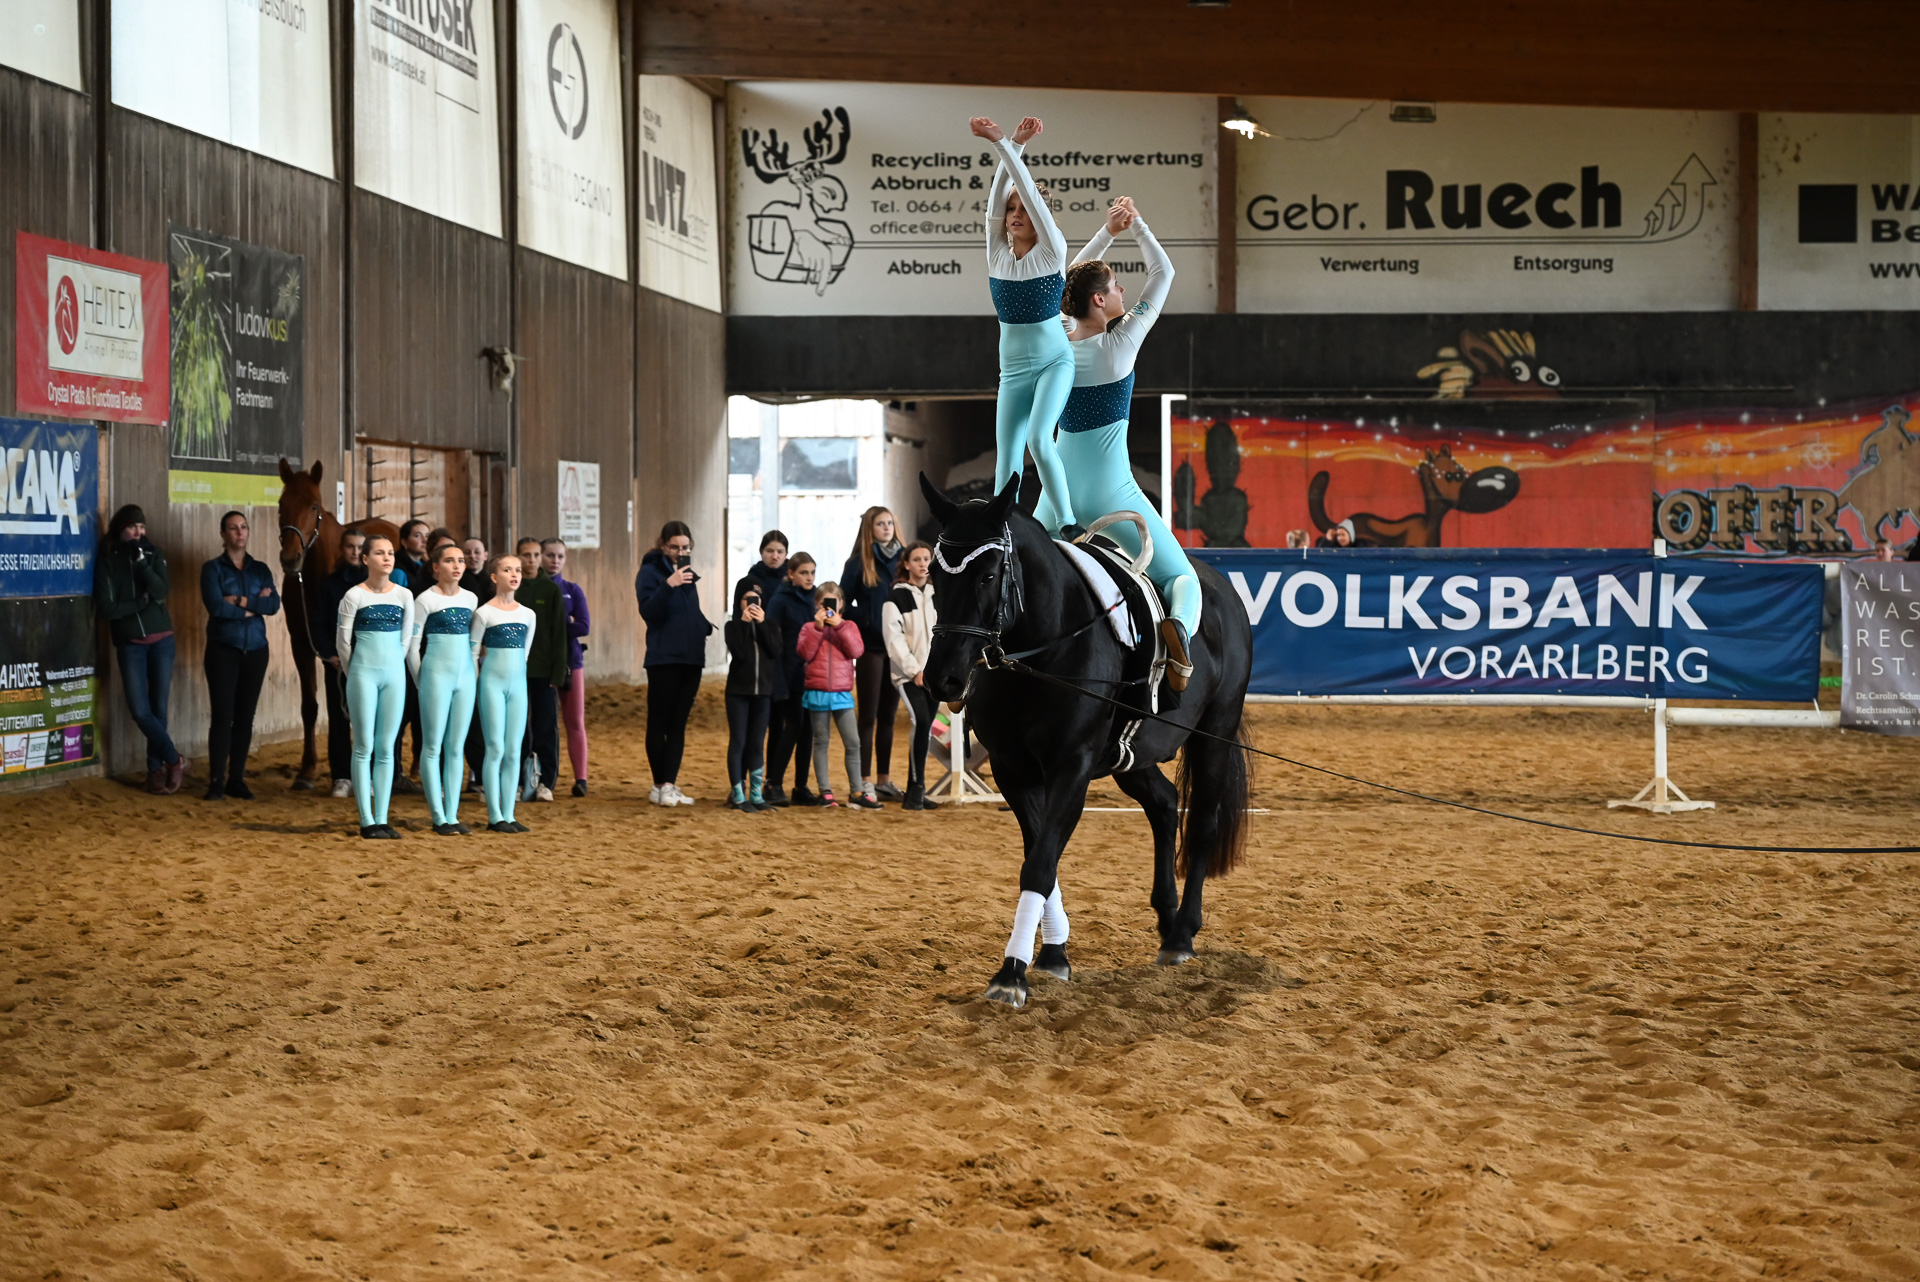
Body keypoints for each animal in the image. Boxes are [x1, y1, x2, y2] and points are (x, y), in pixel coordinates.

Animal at [274, 458, 401, 789]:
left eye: (314, 505)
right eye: (281, 503)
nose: (290, 559)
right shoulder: (303, 644)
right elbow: (310, 706)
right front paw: (306, 771)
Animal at [920, 474, 1255, 1009]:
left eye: (989, 576)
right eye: (933, 572)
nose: (942, 679)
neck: (1040, 653)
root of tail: (1221, 587)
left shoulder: (1071, 768)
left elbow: (1040, 864)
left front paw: (1011, 974)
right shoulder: (1012, 770)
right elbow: (1041, 855)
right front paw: (1053, 955)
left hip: (1216, 735)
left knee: (1201, 821)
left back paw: (1183, 935)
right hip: (1131, 756)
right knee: (1164, 804)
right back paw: (1166, 920)